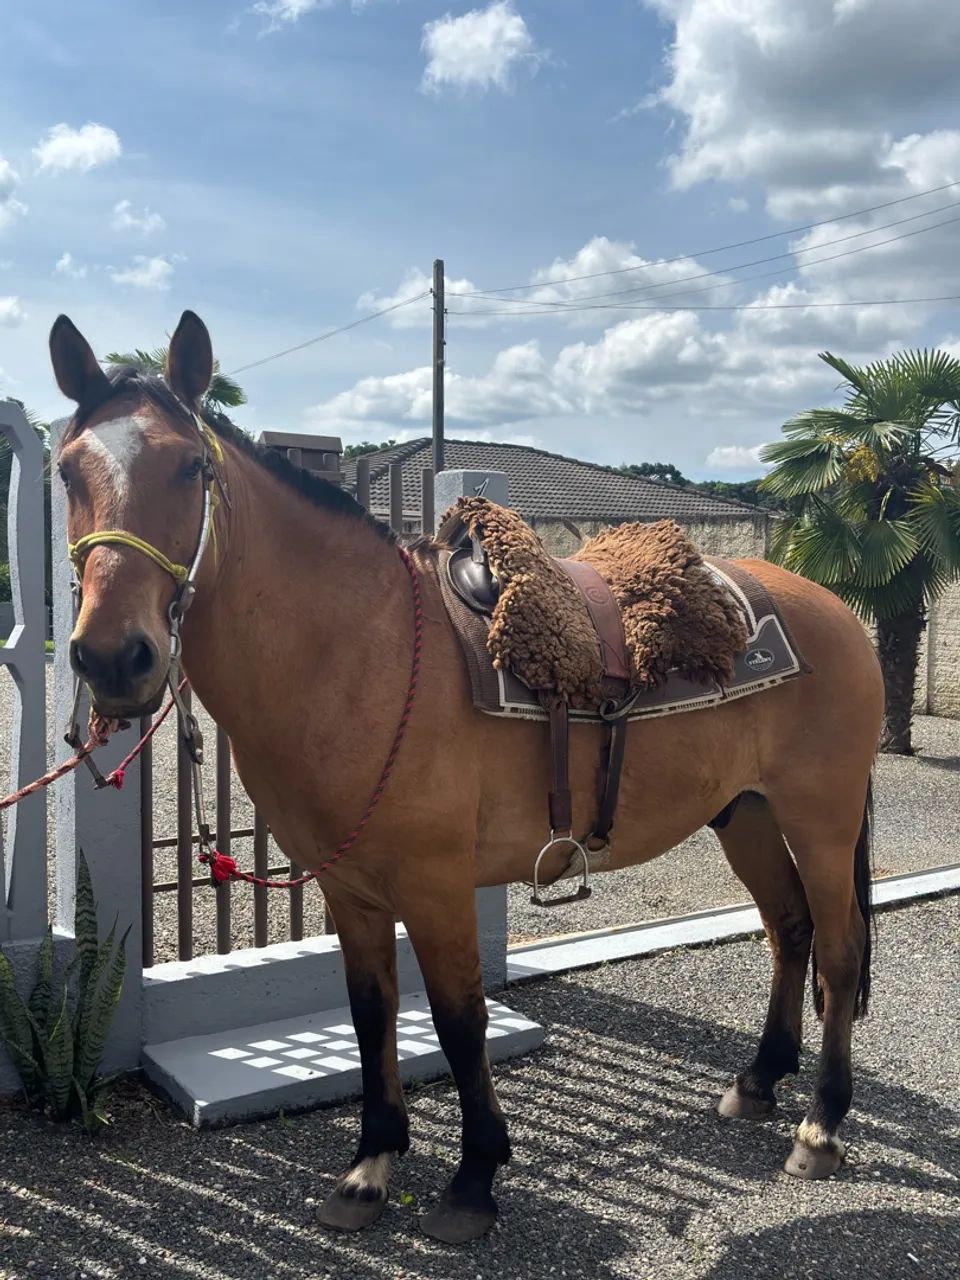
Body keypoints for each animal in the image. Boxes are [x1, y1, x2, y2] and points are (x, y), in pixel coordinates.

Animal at [51, 310, 884, 1246]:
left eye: (191, 467)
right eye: (66, 469)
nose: (114, 658)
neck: (362, 652)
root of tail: (834, 610)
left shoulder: (437, 886)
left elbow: (458, 1020)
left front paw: (475, 1177)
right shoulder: (353, 891)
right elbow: (370, 1014)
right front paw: (371, 1165)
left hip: (820, 817)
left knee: (840, 947)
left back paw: (821, 1124)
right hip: (746, 814)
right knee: (788, 929)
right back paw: (760, 1080)